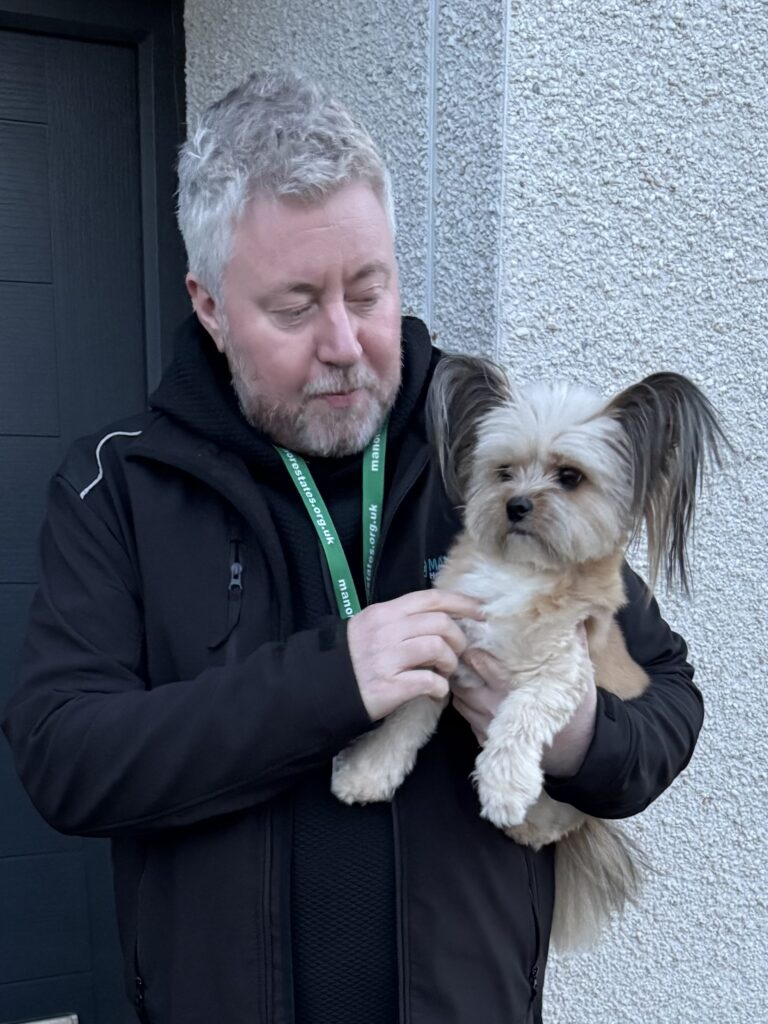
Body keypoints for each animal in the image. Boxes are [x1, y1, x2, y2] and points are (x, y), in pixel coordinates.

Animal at [331, 354, 729, 950]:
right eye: (503, 471)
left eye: (570, 477)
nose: (516, 505)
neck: (518, 574)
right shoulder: (442, 649)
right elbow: (406, 719)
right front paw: (370, 771)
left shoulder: (561, 672)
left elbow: (521, 715)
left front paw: (502, 785)